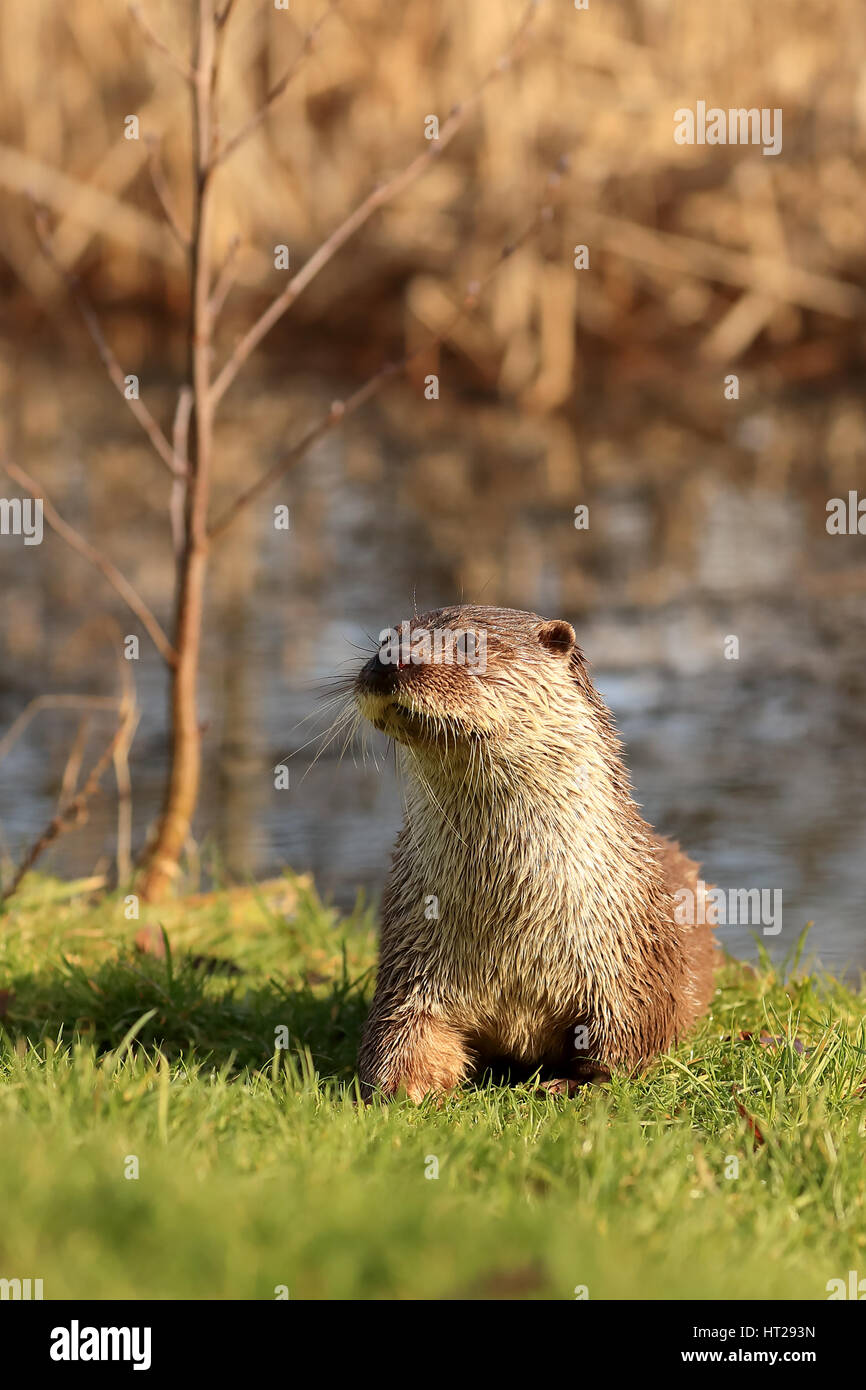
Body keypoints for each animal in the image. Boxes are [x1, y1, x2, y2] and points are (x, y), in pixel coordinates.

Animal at [353, 603, 717, 1100]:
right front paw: (402, 1091)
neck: (513, 932)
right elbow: (402, 1038)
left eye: (469, 644)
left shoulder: (628, 970)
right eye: (387, 639)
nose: (392, 661)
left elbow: (624, 1049)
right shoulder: (409, 961)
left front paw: (573, 1085)